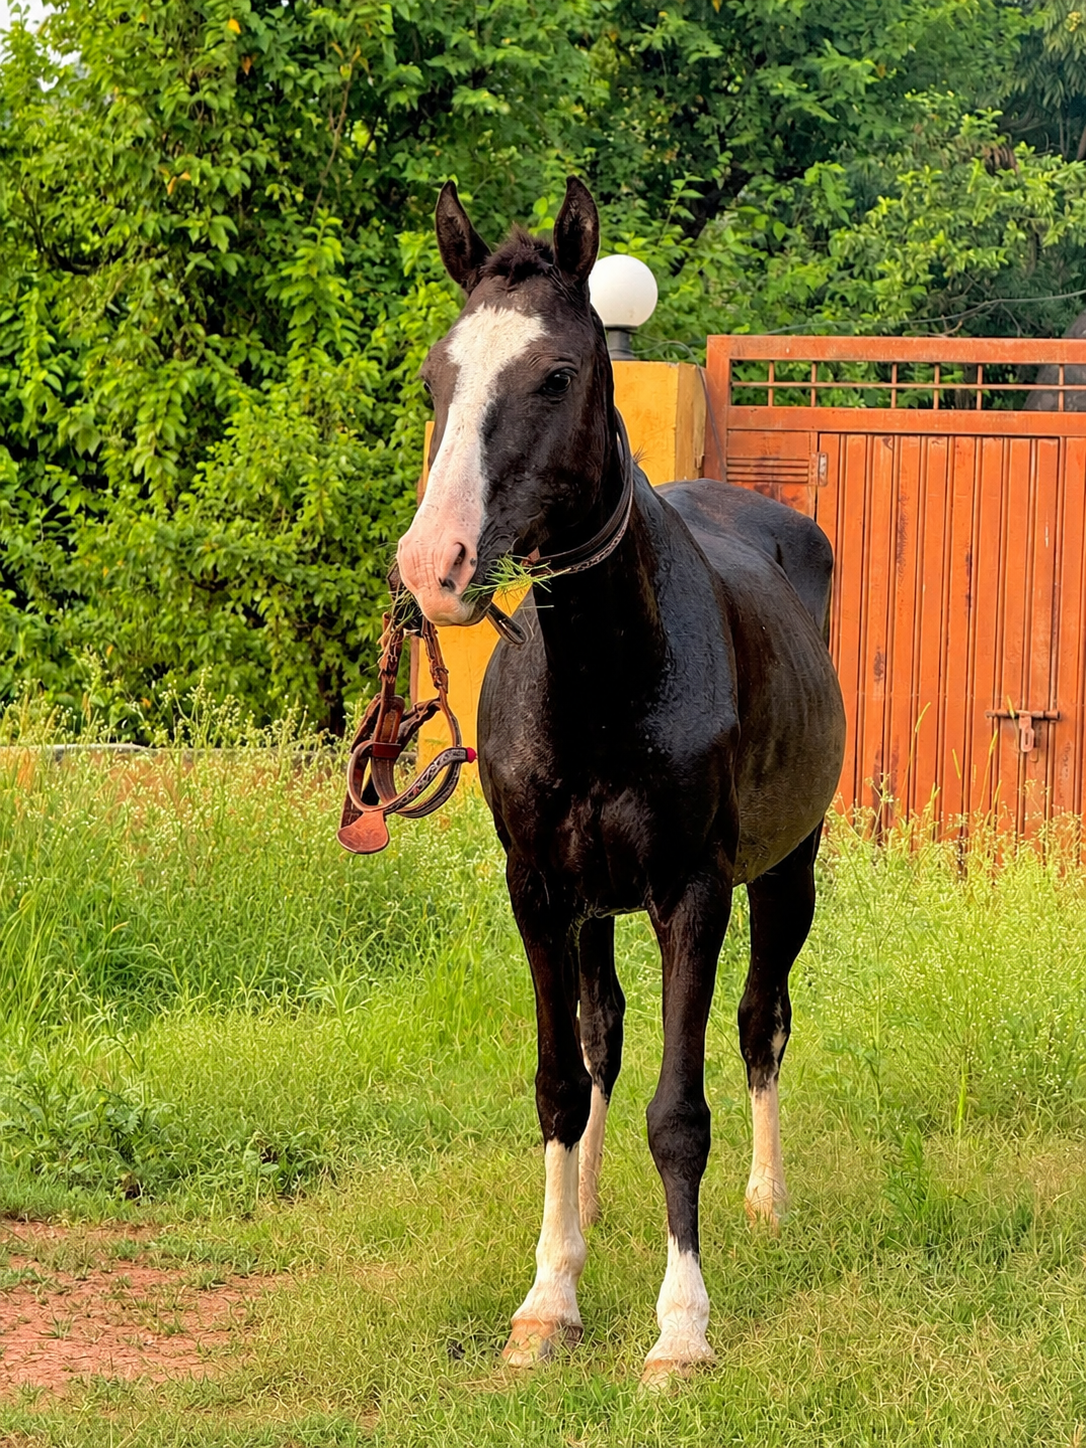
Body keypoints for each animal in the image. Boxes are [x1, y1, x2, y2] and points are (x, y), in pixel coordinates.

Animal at [396, 176, 846, 1387]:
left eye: (557, 375)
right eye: (437, 377)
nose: (434, 565)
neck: (604, 673)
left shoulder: (693, 893)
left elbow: (680, 1111)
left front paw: (681, 1326)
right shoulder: (540, 892)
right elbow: (561, 1082)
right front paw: (549, 1297)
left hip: (786, 876)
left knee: (761, 1022)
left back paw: (766, 1197)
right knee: (602, 1035)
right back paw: (588, 1210)